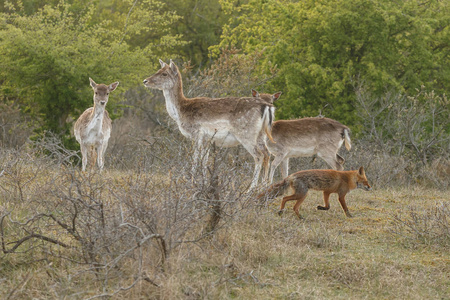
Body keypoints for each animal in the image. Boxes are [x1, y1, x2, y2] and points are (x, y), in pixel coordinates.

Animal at [144, 59, 276, 189]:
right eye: (158, 70)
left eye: (164, 74)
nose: (145, 81)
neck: (181, 112)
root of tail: (267, 106)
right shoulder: (207, 139)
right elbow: (204, 161)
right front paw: (205, 183)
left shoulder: (197, 133)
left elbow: (195, 159)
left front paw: (192, 182)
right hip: (261, 135)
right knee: (267, 154)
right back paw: (264, 185)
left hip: (246, 134)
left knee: (259, 156)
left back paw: (251, 189)